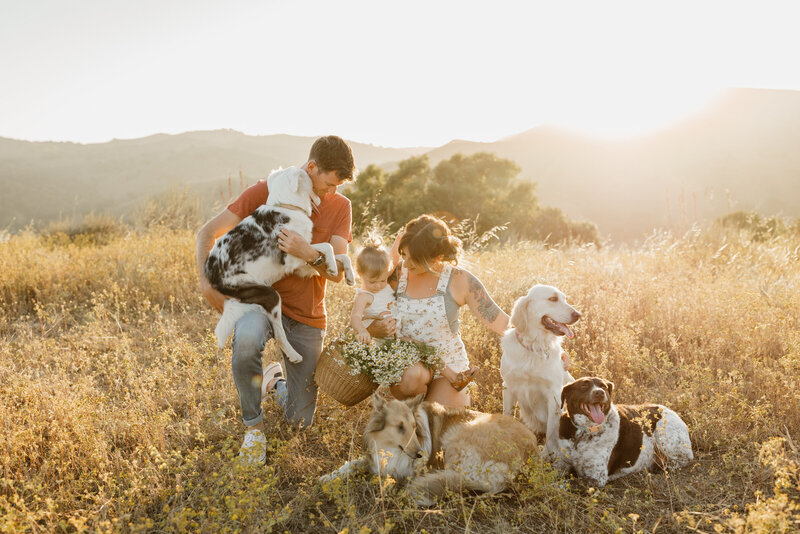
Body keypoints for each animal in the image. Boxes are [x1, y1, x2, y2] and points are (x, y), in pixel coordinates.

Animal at [552, 376, 692, 490]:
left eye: (603, 386)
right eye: (584, 386)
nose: (600, 392)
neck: (584, 432)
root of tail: (669, 410)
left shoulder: (597, 478)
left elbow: (561, 484)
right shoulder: (561, 464)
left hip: (664, 437)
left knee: (683, 460)